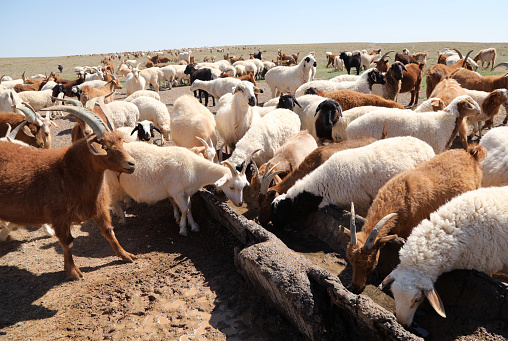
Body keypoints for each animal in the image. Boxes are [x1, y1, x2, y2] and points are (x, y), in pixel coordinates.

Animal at [0, 104, 136, 278]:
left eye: (121, 142)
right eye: (105, 147)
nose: (131, 163)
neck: (67, 171)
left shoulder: (97, 208)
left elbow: (109, 232)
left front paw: (126, 255)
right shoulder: (59, 217)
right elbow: (68, 243)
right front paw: (73, 271)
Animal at [104, 142, 254, 235]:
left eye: (243, 186)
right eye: (231, 187)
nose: (240, 203)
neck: (194, 167)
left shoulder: (186, 192)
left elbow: (189, 207)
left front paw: (193, 226)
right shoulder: (176, 192)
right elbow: (184, 209)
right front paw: (183, 228)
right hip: (113, 183)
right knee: (115, 201)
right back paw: (122, 219)